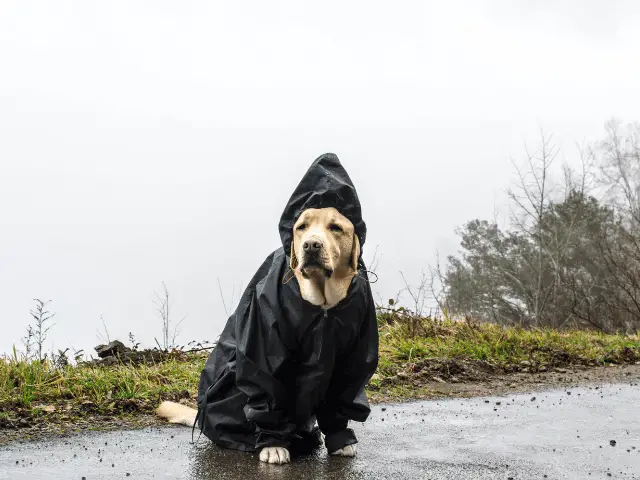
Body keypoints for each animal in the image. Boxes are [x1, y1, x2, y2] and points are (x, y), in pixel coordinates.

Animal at [156, 154, 378, 464]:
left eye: (336, 228)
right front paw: (273, 444)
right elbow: (267, 389)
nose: (311, 245)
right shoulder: (263, 339)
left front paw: (340, 438)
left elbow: (342, 395)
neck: (322, 303)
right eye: (301, 227)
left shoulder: (355, 352)